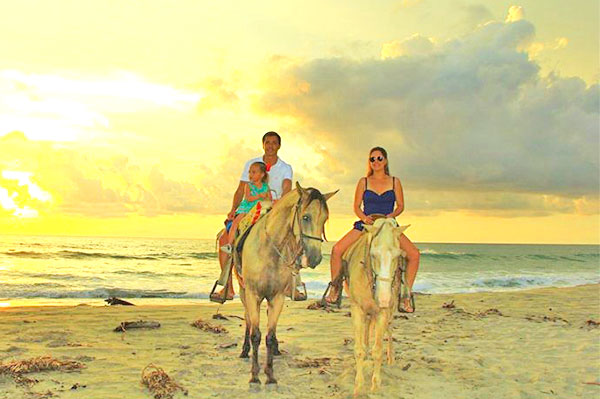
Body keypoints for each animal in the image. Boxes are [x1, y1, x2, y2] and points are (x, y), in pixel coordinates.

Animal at [236, 184, 338, 384]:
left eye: (324, 219)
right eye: (306, 217)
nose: (315, 258)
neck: (268, 251)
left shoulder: (277, 297)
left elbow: (269, 335)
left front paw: (270, 374)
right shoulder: (253, 294)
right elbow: (256, 334)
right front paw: (254, 375)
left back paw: (275, 350)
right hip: (244, 292)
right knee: (247, 319)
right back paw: (244, 350)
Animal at [344, 219, 410, 396]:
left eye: (397, 256)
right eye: (373, 254)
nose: (383, 298)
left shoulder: (382, 313)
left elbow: (378, 350)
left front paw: (375, 386)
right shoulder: (357, 310)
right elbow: (359, 349)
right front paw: (358, 387)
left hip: (390, 313)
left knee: (389, 331)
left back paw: (391, 358)